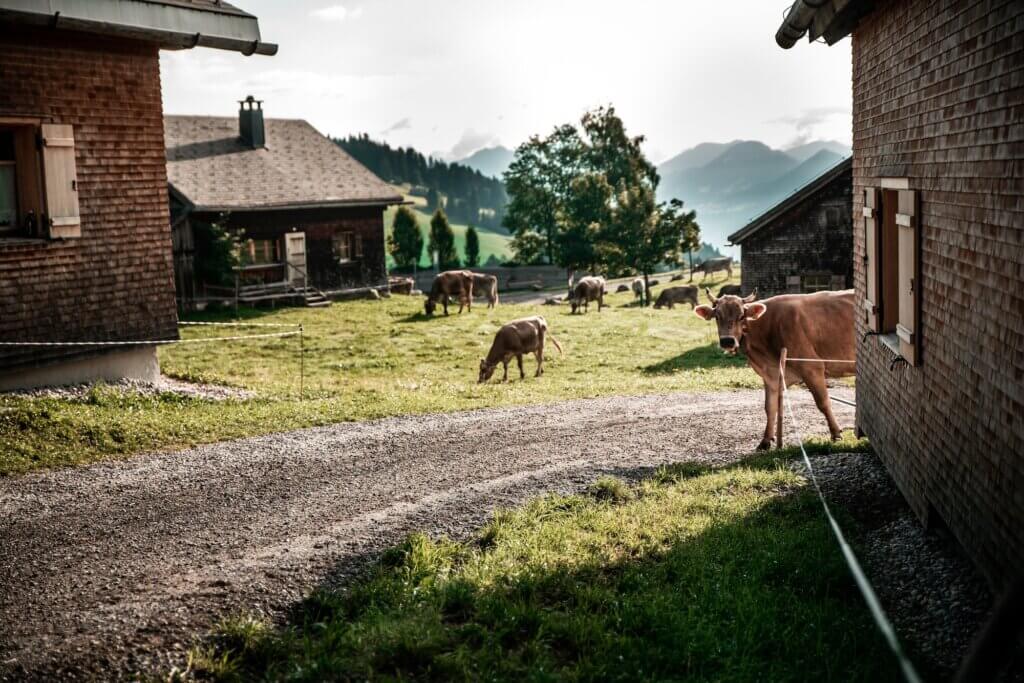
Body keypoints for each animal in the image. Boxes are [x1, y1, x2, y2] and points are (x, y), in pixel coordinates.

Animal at [696, 286, 856, 448]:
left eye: (741, 316)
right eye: (717, 316)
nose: (727, 341)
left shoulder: (812, 367)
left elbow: (823, 402)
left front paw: (836, 433)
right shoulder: (771, 375)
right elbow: (770, 407)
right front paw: (766, 440)